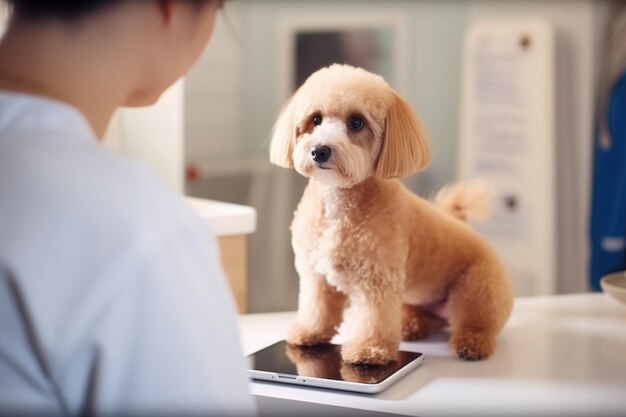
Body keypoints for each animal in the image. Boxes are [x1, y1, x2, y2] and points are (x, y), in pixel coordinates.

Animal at [268, 62, 512, 364]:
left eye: (356, 122)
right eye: (316, 119)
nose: (320, 150)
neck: (339, 206)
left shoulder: (376, 279)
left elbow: (372, 319)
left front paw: (367, 350)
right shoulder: (316, 276)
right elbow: (317, 309)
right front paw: (308, 333)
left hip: (478, 286)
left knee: (477, 321)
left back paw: (472, 343)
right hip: (419, 298)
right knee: (429, 318)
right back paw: (410, 326)